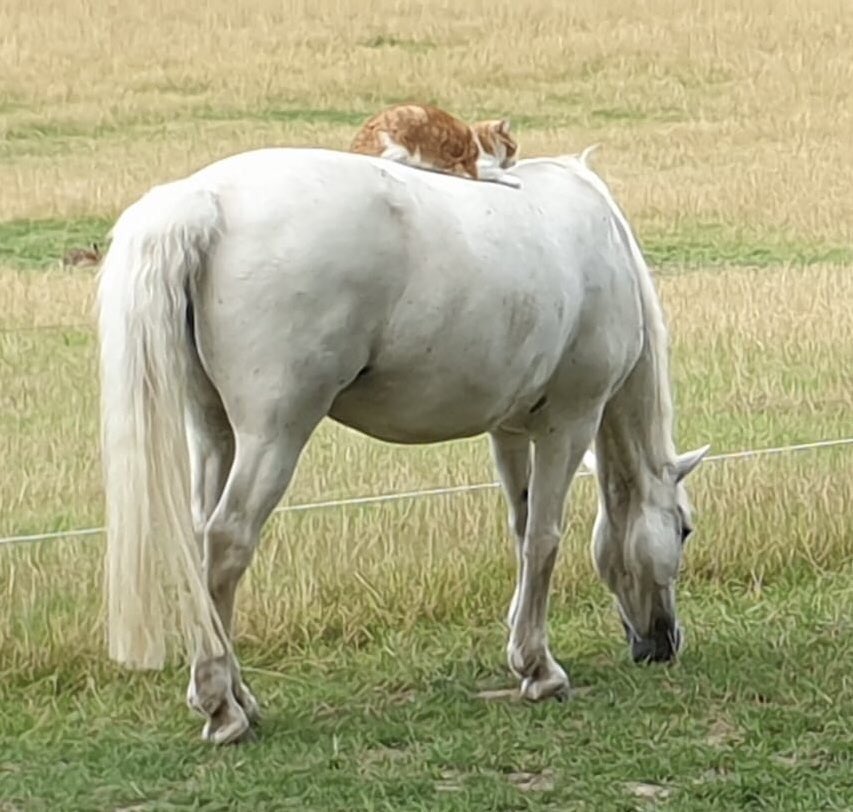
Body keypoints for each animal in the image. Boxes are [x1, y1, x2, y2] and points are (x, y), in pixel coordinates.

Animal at [96, 144, 704, 744]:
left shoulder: (509, 432)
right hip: (273, 434)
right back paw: (222, 709)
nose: (661, 645)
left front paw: (521, 649)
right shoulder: (569, 423)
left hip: (214, 429)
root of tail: (205, 201)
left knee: (203, 540)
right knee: (228, 541)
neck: (603, 242)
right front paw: (541, 671)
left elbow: (521, 527)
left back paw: (240, 696)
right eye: (684, 529)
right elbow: (544, 540)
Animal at [348, 103, 520, 187]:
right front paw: (514, 179)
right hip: (403, 142)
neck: (481, 141)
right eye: (514, 148)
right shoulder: (474, 167)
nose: (515, 162)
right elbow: (498, 171)